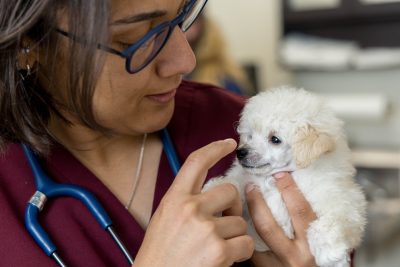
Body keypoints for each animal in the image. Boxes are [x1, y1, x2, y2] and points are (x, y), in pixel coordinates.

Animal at [205, 88, 368, 267]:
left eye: (275, 139)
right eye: (250, 136)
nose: (240, 152)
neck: (277, 177)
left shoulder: (343, 200)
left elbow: (333, 221)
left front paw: (330, 253)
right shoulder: (247, 180)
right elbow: (234, 182)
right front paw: (213, 190)